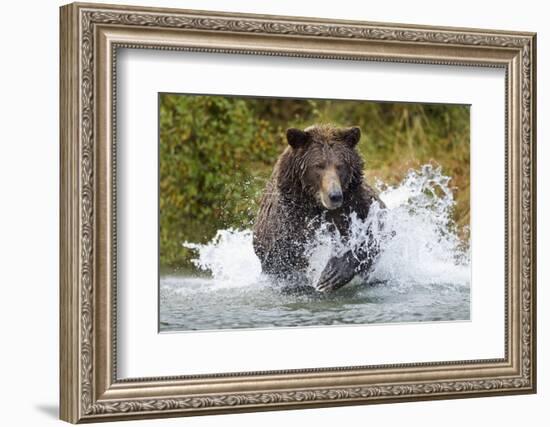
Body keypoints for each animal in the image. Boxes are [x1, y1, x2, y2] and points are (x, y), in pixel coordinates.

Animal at [253, 122, 386, 292]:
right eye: (318, 166)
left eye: (340, 165)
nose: (335, 195)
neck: (318, 205)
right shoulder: (288, 221)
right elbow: (288, 255)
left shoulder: (358, 205)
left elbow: (374, 235)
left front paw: (332, 273)